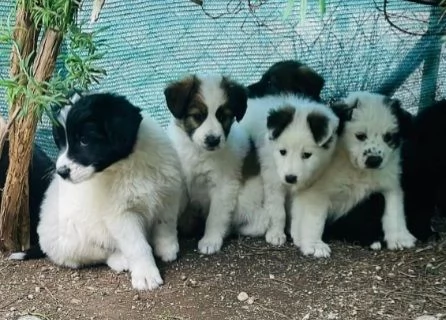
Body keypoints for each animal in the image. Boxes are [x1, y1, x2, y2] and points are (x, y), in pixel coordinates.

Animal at [21, 92, 183, 290]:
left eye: (84, 140)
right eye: (60, 143)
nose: (61, 172)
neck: (126, 164)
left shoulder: (168, 193)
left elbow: (165, 223)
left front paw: (167, 248)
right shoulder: (121, 216)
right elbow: (137, 246)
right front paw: (146, 275)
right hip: (77, 242)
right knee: (101, 254)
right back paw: (120, 260)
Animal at [166, 74, 253, 254]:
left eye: (223, 117)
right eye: (197, 116)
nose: (213, 140)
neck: (199, 153)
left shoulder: (223, 185)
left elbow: (216, 215)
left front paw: (210, 240)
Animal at [240, 94, 338, 246]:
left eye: (306, 155)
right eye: (282, 152)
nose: (290, 178)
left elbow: (296, 211)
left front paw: (296, 233)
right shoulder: (273, 181)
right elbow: (278, 212)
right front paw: (276, 234)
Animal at [294, 90, 416, 258]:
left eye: (388, 137)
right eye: (360, 136)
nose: (374, 160)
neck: (357, 170)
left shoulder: (390, 183)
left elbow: (394, 209)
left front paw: (399, 237)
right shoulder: (317, 193)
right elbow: (314, 219)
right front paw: (314, 244)